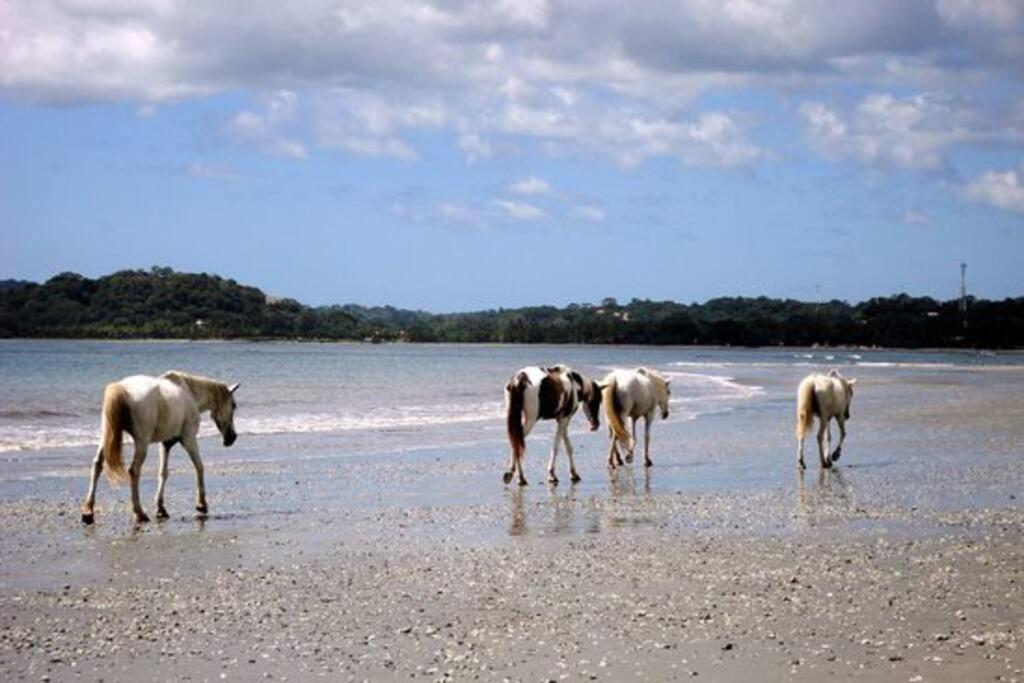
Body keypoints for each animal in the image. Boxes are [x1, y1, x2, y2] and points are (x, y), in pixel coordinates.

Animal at [80, 374, 239, 524]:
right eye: (233, 405)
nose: (232, 438)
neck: (189, 392)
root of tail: (122, 388)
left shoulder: (165, 444)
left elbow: (163, 473)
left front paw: (161, 509)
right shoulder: (189, 439)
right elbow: (199, 467)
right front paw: (201, 504)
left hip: (106, 436)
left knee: (97, 465)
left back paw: (88, 511)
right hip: (142, 442)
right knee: (134, 470)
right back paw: (139, 512)